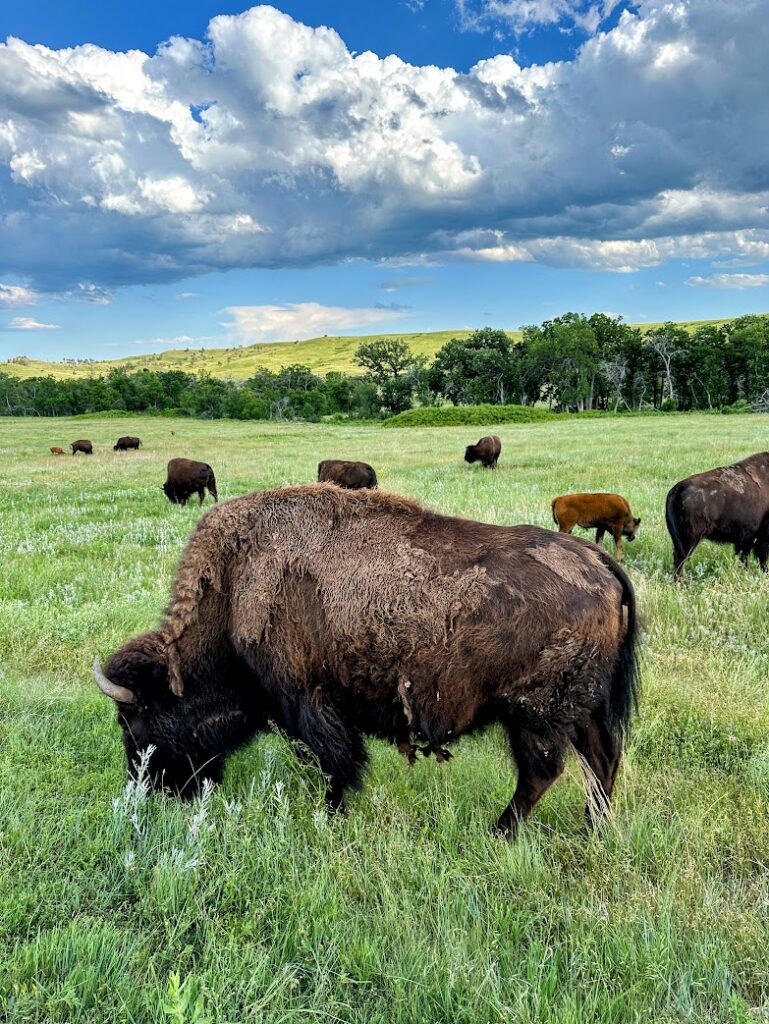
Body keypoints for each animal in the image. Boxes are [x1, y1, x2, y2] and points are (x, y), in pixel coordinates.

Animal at [94, 487, 638, 839]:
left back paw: (499, 832)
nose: (152, 790)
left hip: (534, 714)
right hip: (581, 710)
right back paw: (593, 830)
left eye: (134, 722)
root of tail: (599, 563)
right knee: (602, 760)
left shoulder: (307, 701)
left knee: (543, 772)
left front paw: (332, 815)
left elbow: (335, 762)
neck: (234, 591)